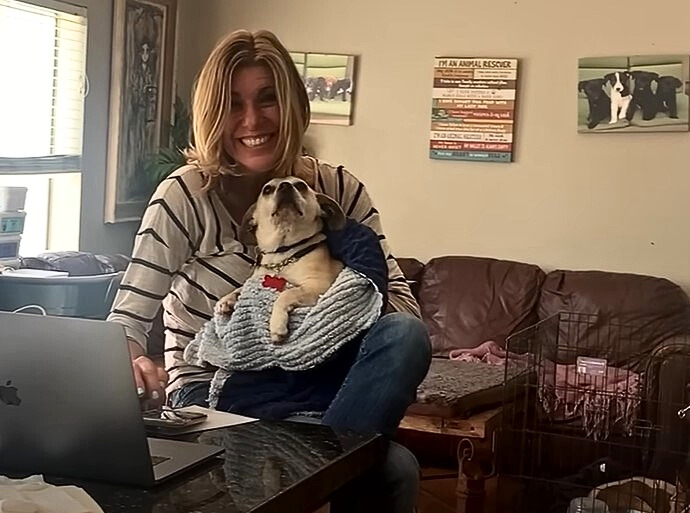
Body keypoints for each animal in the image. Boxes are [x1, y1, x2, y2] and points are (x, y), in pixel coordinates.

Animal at [215, 176, 344, 344]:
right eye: (267, 190)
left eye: (301, 186)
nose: (285, 186)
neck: (283, 252)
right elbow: (241, 288)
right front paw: (227, 299)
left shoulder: (318, 286)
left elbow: (286, 294)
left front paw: (277, 325)